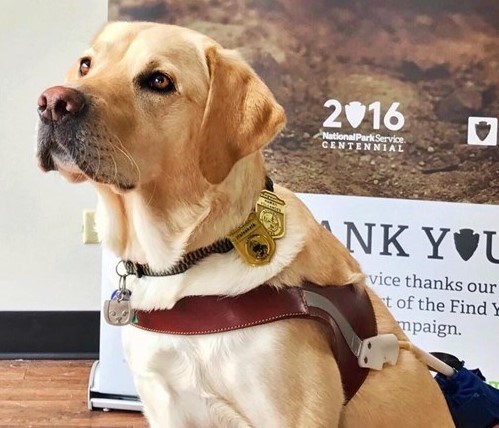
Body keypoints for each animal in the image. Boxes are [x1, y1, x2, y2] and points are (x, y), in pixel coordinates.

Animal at [37, 22, 456, 428]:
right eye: (86, 65)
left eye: (159, 81)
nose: (53, 102)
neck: (188, 258)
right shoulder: (164, 401)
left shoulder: (294, 415)